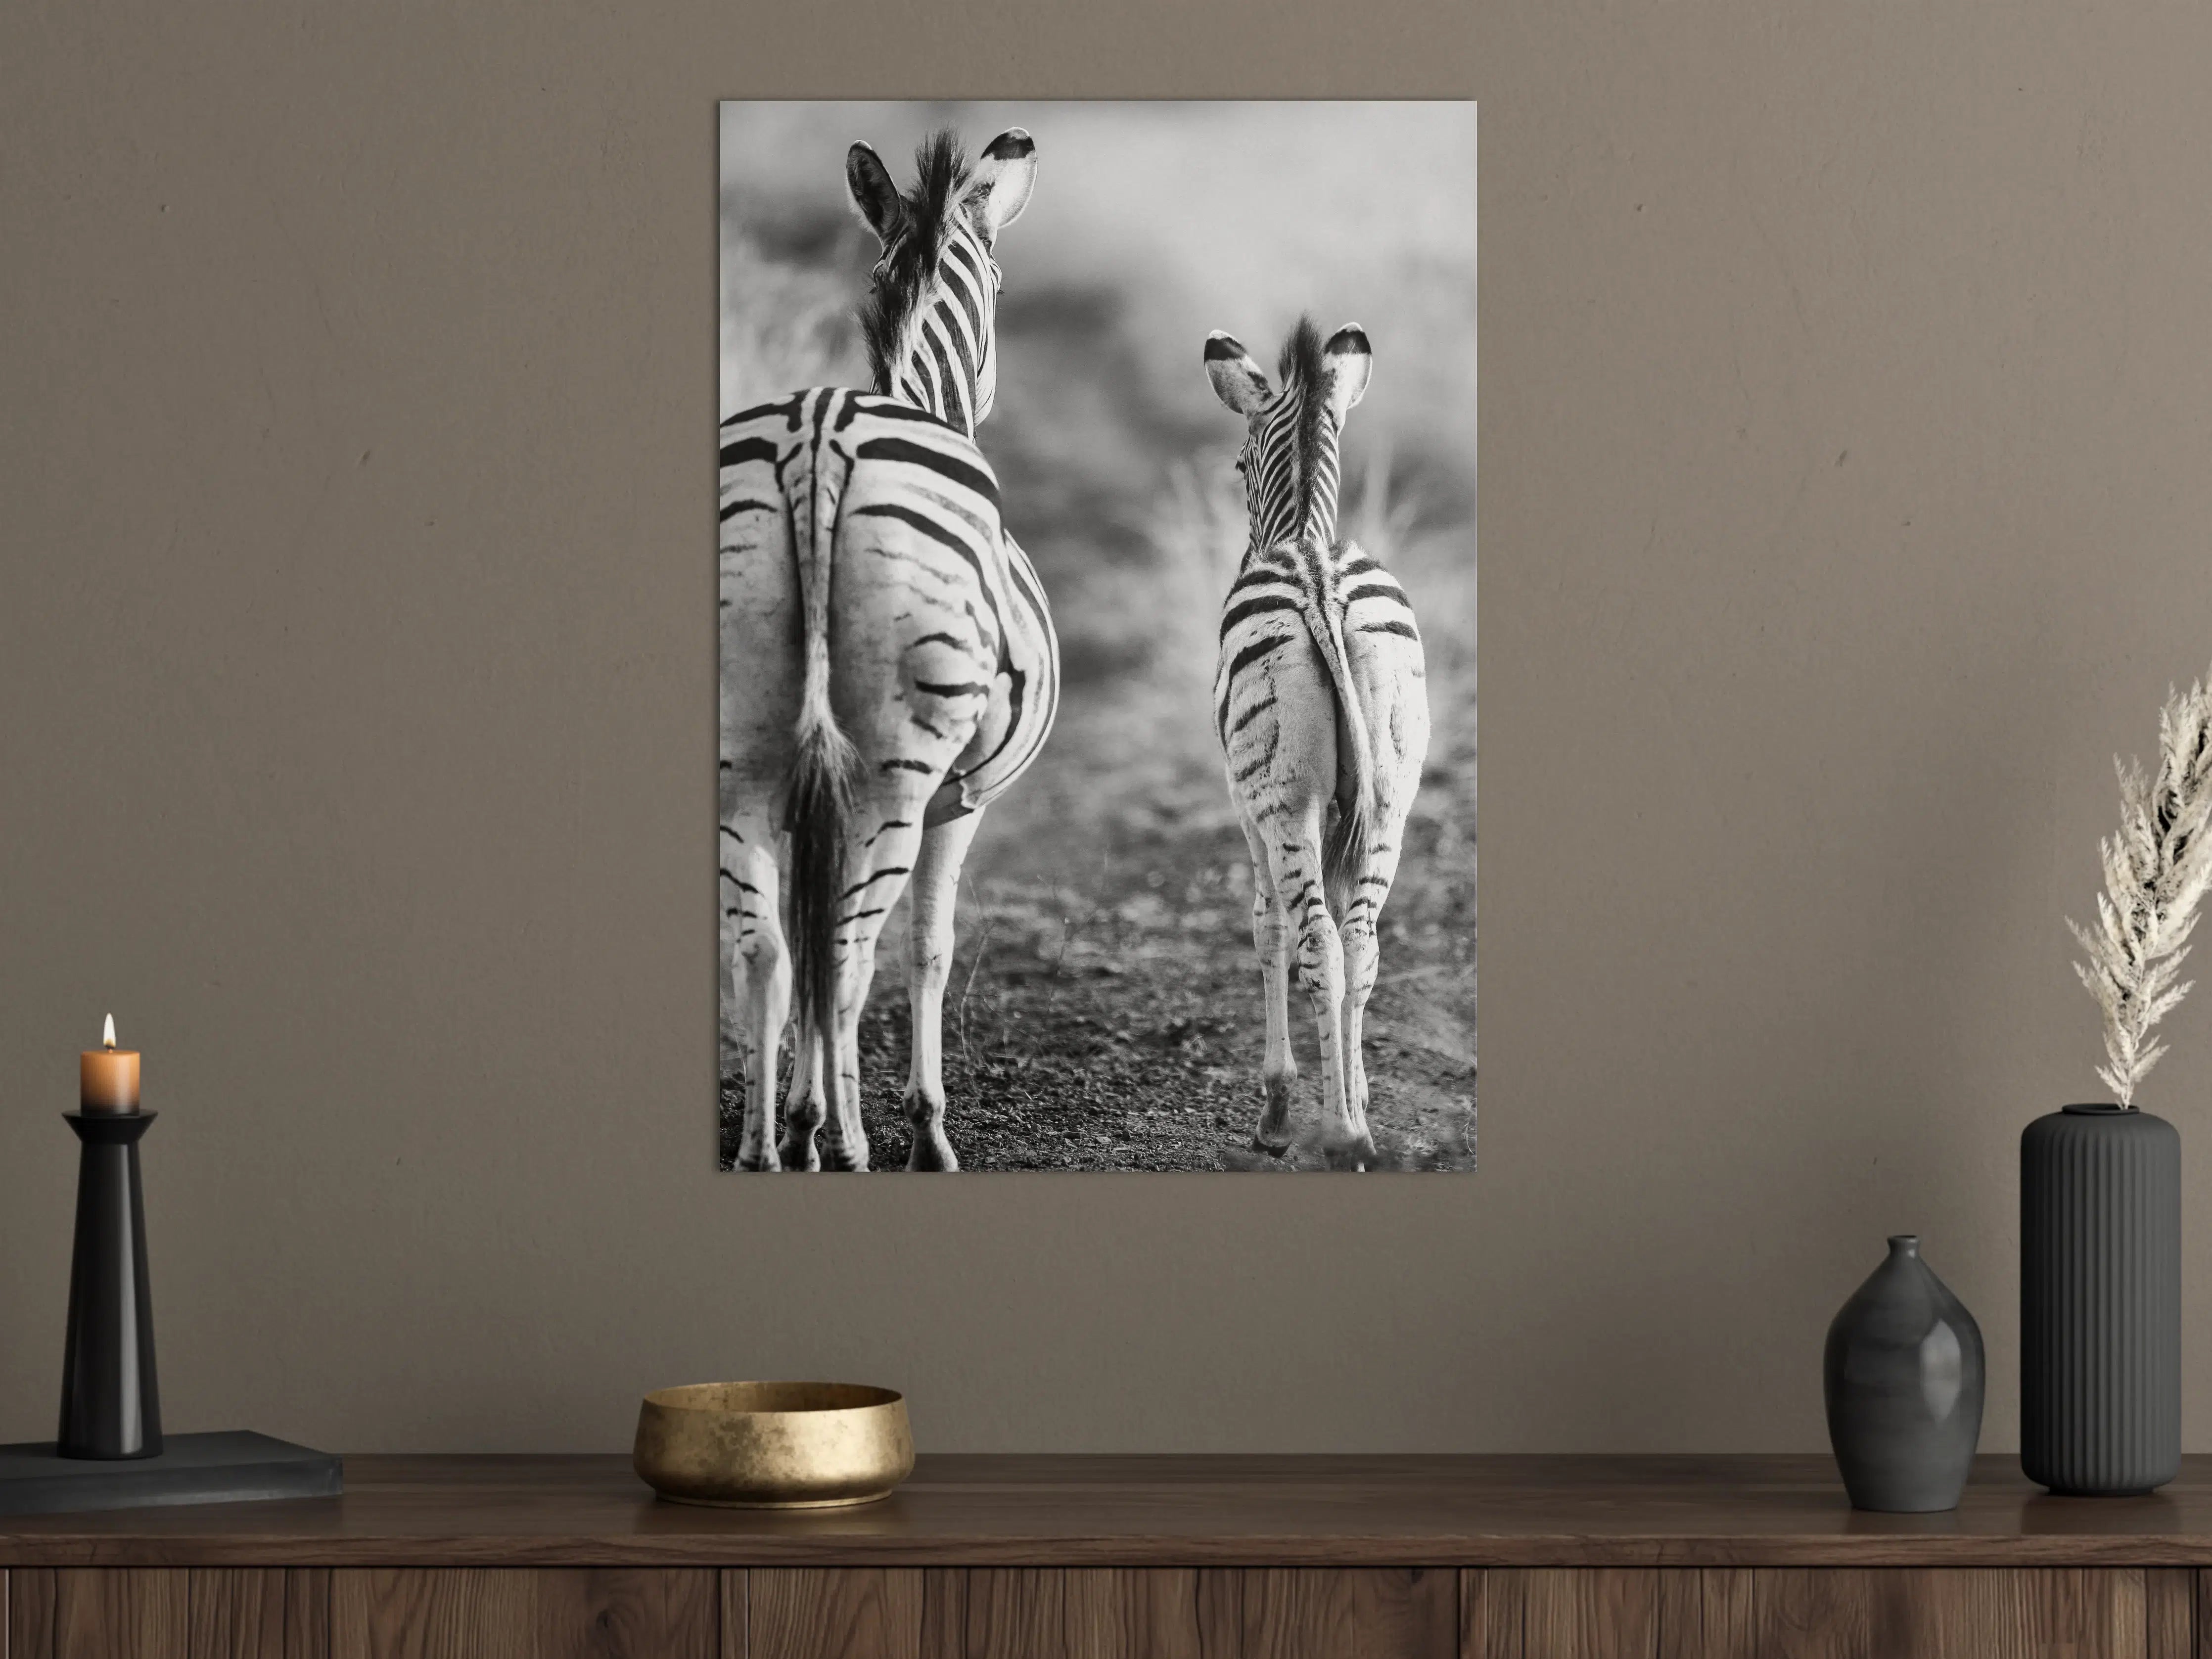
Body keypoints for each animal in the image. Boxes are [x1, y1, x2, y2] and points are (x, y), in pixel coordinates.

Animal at [720, 129, 1057, 1172]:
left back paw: (765, 1145)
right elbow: (927, 949)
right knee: (851, 950)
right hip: (897, 775)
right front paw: (921, 1125)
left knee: (768, 947)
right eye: (1000, 284)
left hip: (742, 754)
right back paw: (843, 1137)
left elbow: (797, 938)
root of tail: (819, 433)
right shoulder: (963, 798)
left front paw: (802, 1109)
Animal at [1202, 318, 1430, 1169]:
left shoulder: (1248, 807)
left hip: (1286, 801)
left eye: (1239, 466)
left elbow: (1266, 926)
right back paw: (1354, 1126)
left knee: (1319, 942)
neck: (1302, 533)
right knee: (1360, 942)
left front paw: (1275, 1108)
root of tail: (1320, 583)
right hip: (1391, 797)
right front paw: (1356, 1088)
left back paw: (1337, 1135)